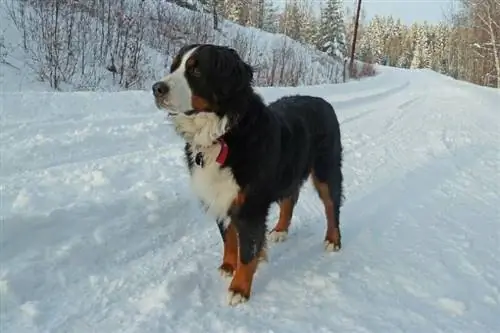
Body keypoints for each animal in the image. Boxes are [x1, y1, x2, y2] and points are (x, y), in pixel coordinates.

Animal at [150, 42, 344, 304]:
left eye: (196, 70)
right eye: (174, 66)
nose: (156, 88)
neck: (222, 135)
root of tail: (323, 101)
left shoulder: (250, 204)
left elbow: (248, 250)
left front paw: (239, 289)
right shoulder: (220, 196)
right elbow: (229, 239)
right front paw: (227, 267)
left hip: (326, 169)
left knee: (332, 206)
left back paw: (333, 240)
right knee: (290, 198)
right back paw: (280, 230)